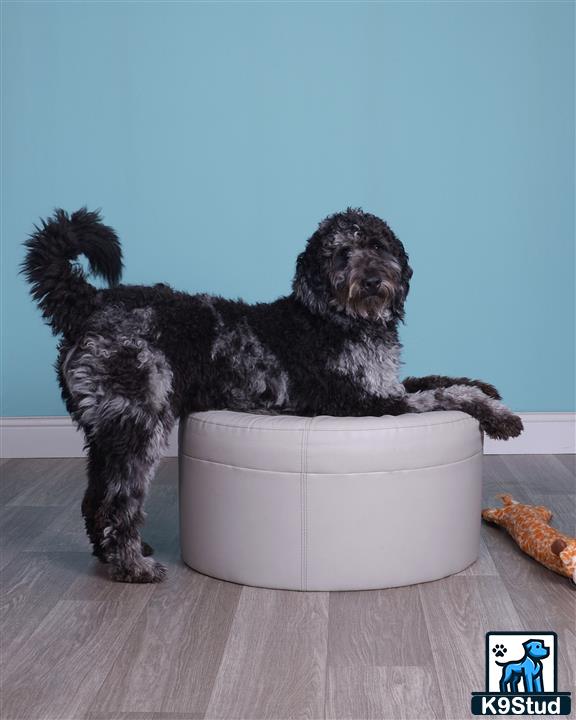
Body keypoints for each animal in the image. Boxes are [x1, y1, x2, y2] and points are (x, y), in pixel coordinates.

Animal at [24, 205, 524, 584]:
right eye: (342, 254)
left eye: (379, 246)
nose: (372, 281)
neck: (334, 318)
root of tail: (89, 302)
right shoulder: (363, 402)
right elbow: (445, 394)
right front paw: (500, 416)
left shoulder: (385, 384)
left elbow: (437, 377)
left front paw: (490, 388)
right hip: (138, 423)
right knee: (117, 500)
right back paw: (133, 566)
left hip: (106, 428)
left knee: (94, 498)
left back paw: (115, 555)